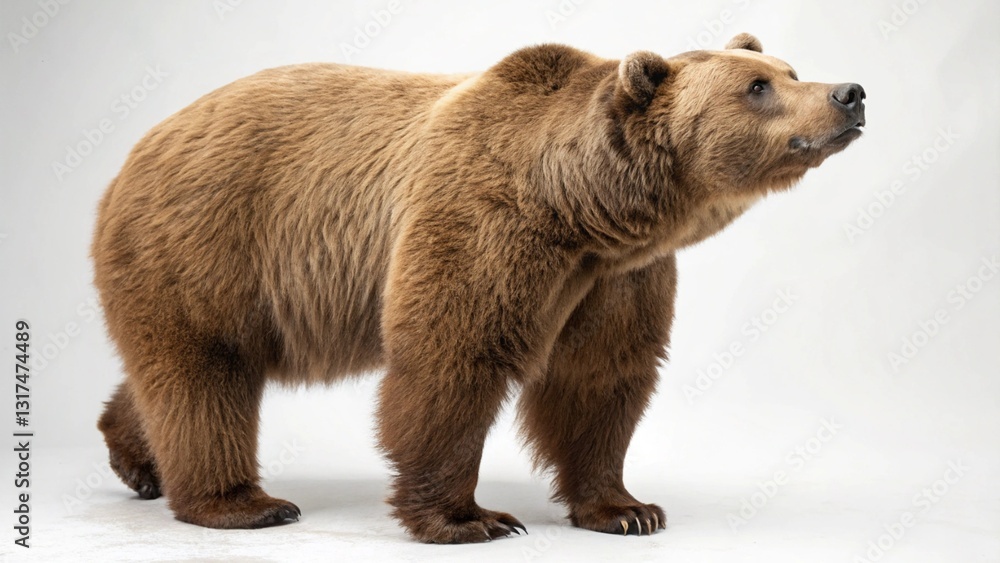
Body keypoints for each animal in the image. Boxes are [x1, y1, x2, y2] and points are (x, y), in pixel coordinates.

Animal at [92, 33, 865, 543]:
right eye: (757, 88)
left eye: (787, 68)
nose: (849, 92)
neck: (580, 207)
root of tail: (135, 151)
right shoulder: (484, 219)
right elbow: (454, 356)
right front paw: (471, 517)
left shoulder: (616, 276)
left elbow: (600, 375)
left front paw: (627, 508)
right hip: (208, 240)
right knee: (205, 371)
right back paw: (244, 502)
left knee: (170, 372)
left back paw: (138, 460)